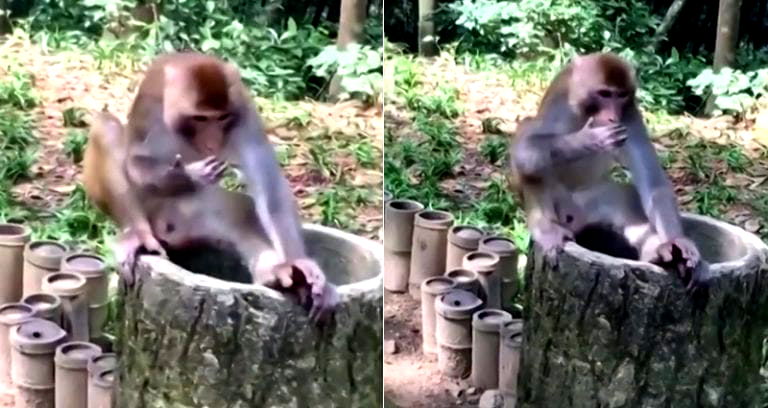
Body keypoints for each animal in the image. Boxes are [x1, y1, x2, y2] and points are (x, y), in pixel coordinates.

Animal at [82, 51, 338, 322]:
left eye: (222, 117)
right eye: (200, 118)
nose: (213, 142)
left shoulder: (242, 108)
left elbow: (269, 188)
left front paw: (298, 264)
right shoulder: (152, 102)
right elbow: (135, 161)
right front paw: (187, 176)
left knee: (242, 211)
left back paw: (279, 276)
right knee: (105, 127)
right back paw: (137, 235)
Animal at [508, 53, 712, 290]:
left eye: (621, 96)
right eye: (605, 94)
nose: (612, 116)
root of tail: (577, 220)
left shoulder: (630, 114)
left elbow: (653, 184)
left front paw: (677, 241)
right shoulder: (561, 103)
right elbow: (526, 148)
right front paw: (589, 139)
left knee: (626, 196)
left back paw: (659, 252)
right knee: (532, 162)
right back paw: (548, 230)